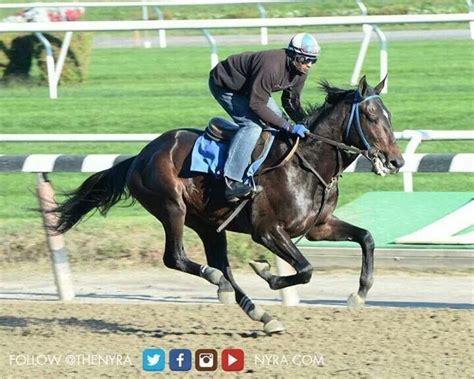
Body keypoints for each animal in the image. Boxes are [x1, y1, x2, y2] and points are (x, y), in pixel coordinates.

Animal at [53, 75, 406, 334]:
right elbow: (305, 269)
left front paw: (359, 295)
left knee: (223, 269)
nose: (396, 161)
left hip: (208, 225)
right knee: (177, 258)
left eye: (389, 115)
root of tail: (139, 156)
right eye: (371, 116)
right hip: (172, 208)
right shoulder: (267, 231)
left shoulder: (318, 227)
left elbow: (366, 238)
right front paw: (266, 272)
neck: (306, 164)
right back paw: (218, 282)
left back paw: (261, 315)